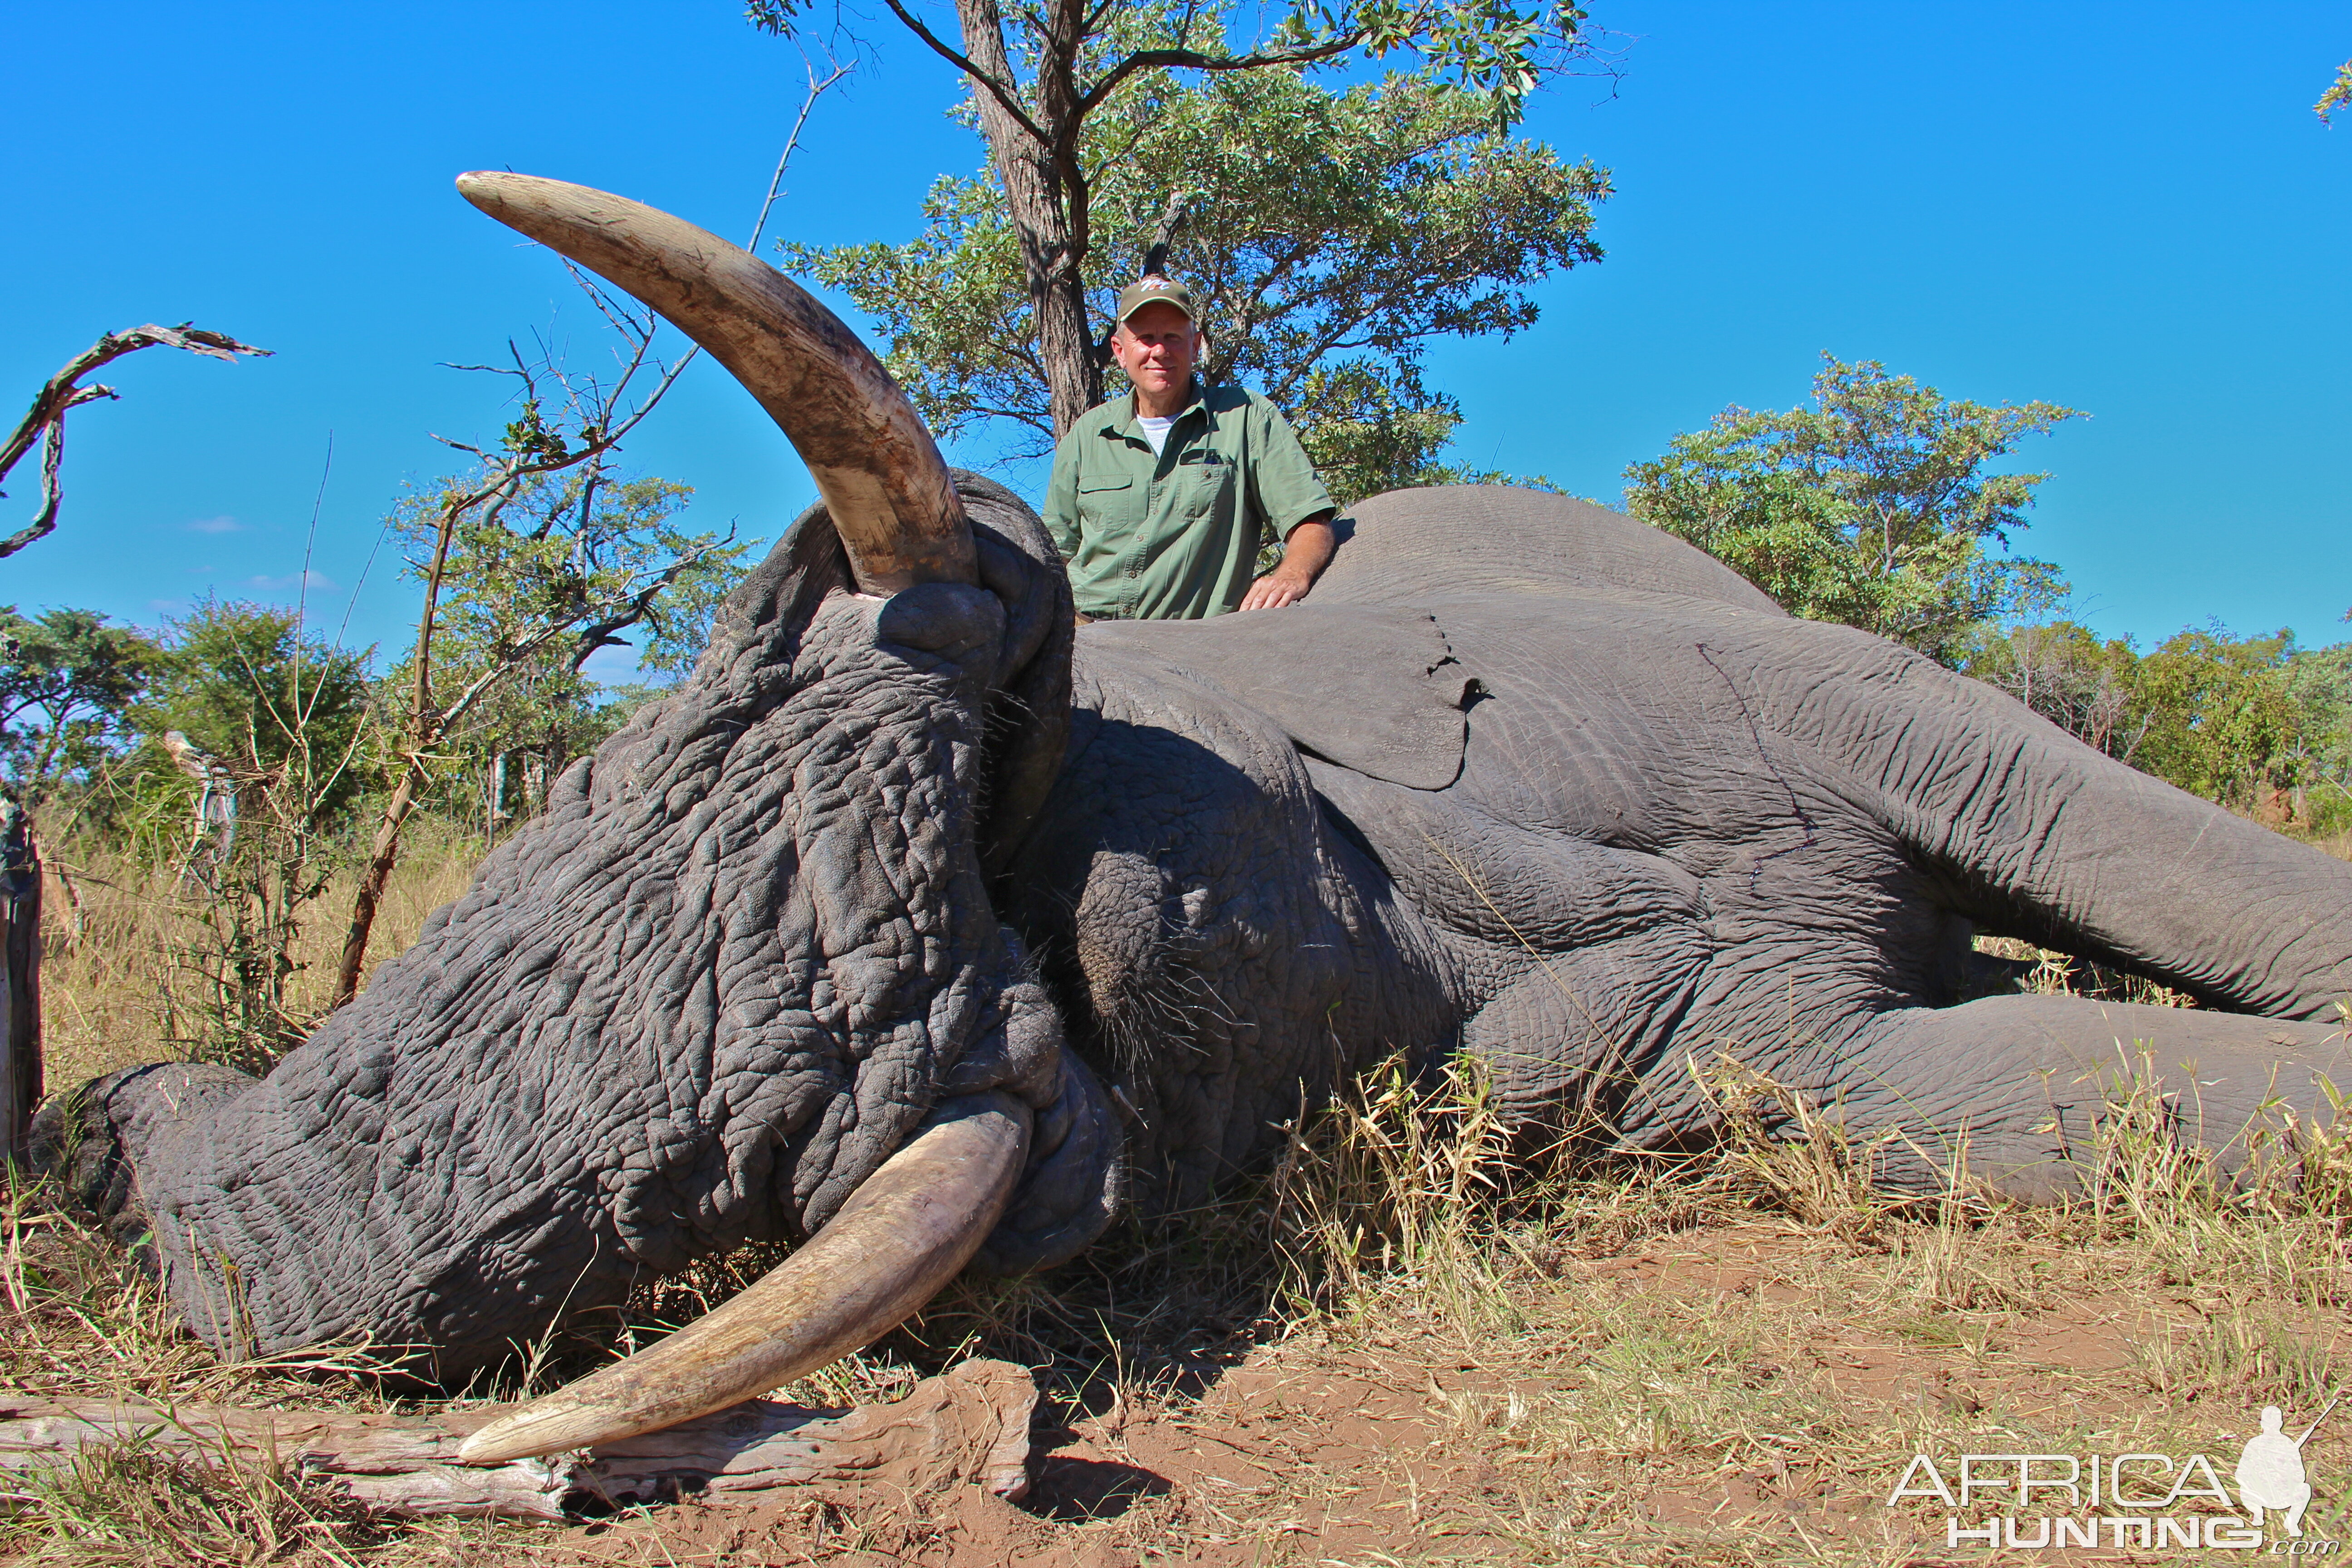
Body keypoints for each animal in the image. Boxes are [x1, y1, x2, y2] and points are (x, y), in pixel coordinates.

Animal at [37, 175, 2352, 1476]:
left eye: (606, 772)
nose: (101, 1148)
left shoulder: (1748, 688)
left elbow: (1997, 775)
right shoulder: (1745, 1072)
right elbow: (2014, 1104)